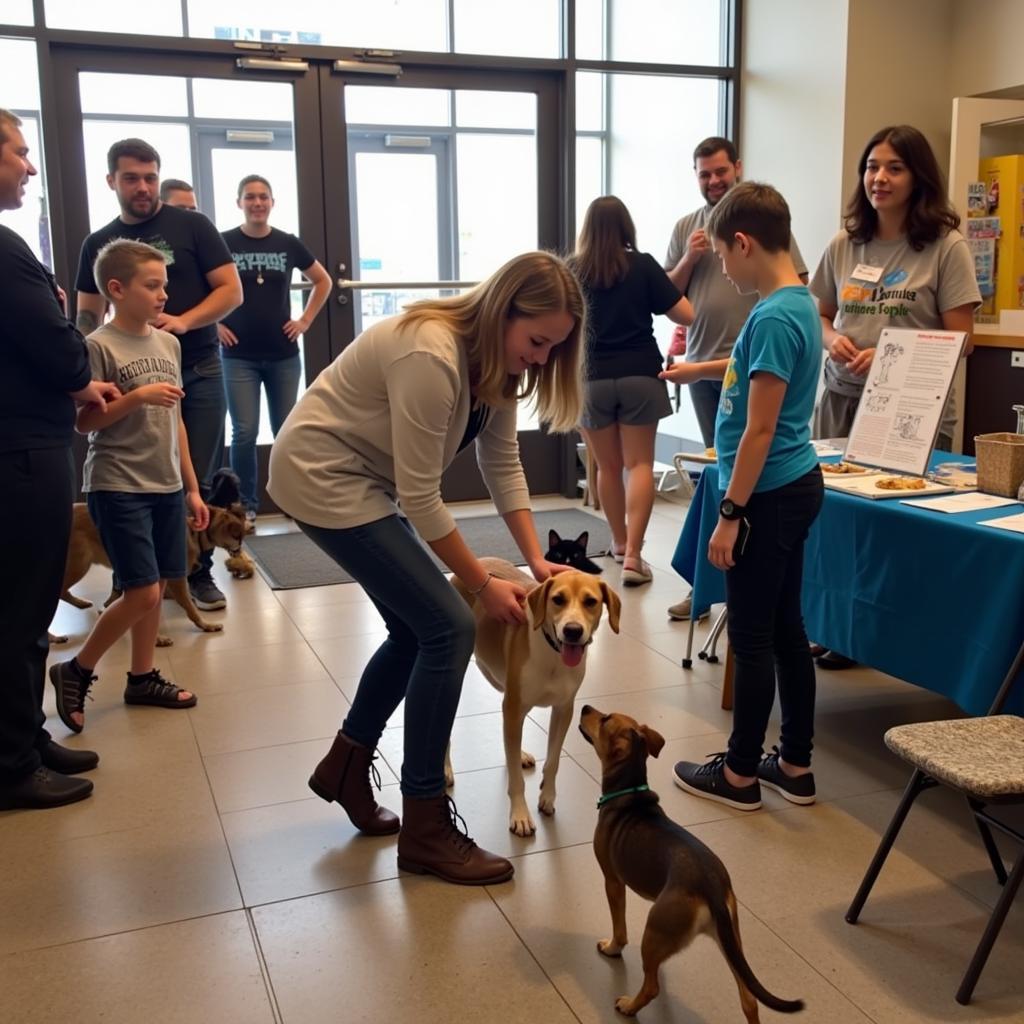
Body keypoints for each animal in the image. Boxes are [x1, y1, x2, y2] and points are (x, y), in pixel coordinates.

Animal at [450, 561, 622, 839]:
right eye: (558, 599)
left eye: (591, 601)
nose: (573, 631)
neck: (553, 654)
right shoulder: (515, 706)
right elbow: (515, 780)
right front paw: (520, 814)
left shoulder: (563, 710)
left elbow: (553, 761)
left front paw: (547, 797)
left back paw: (518, 753)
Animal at [581, 708, 802, 1019]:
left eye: (604, 720)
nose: (585, 708)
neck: (630, 791)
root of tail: (711, 889)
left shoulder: (613, 881)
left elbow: (619, 927)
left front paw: (613, 947)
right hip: (729, 938)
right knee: (748, 998)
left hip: (659, 932)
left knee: (652, 986)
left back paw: (629, 1005)